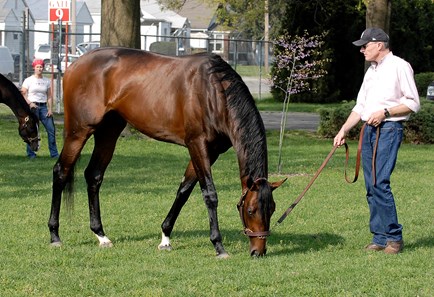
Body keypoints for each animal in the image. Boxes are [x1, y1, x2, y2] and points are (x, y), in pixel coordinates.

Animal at [48, 47, 284, 256]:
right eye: (250, 210)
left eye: (272, 208)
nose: (258, 251)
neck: (214, 92)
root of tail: (75, 65)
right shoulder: (197, 144)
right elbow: (209, 194)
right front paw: (218, 246)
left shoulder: (211, 151)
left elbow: (184, 191)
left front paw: (165, 238)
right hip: (79, 131)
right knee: (61, 171)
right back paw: (55, 235)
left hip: (108, 132)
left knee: (94, 176)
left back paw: (101, 235)